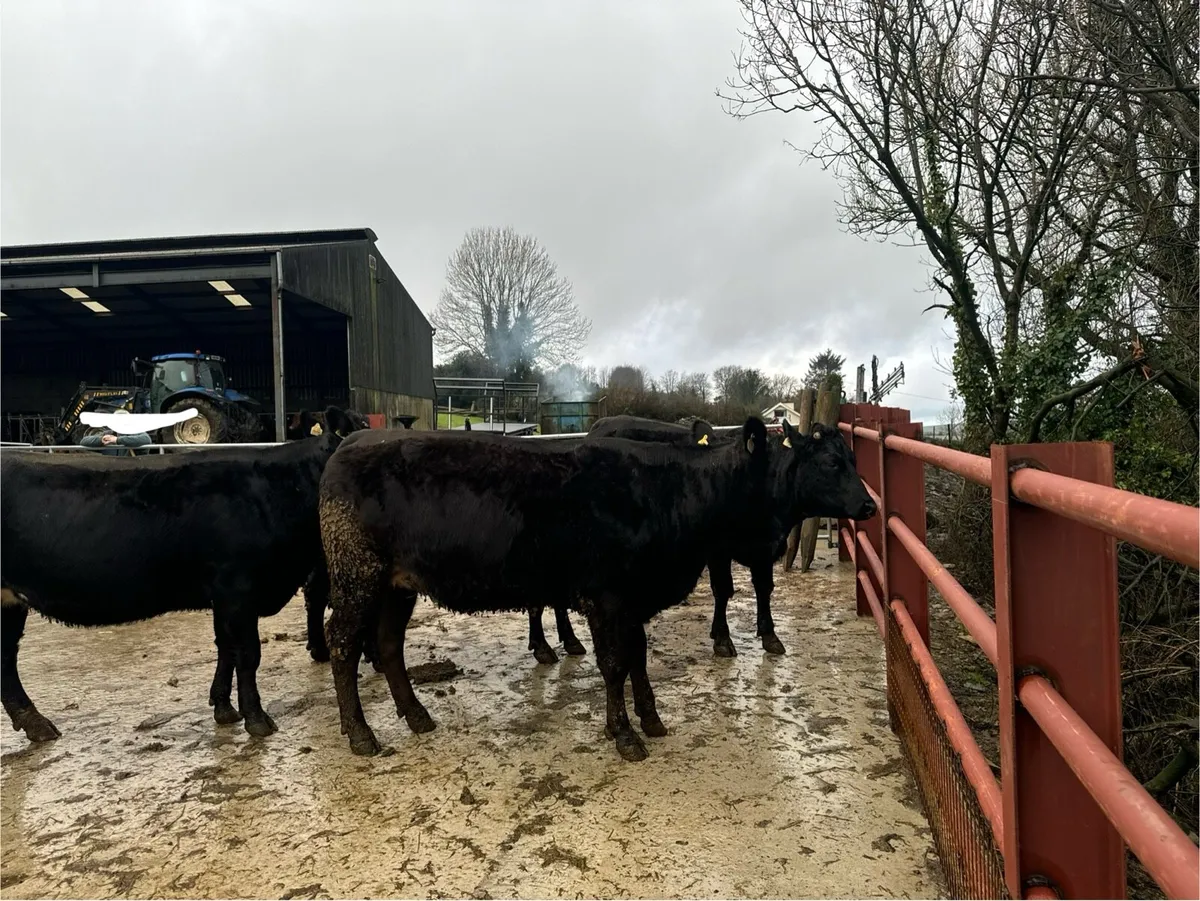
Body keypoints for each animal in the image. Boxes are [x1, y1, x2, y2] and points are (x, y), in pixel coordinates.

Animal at [0, 406, 366, 744]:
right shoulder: (238, 588)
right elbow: (248, 654)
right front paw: (257, 719)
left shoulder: (224, 597)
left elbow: (225, 648)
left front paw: (224, 708)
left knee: (6, 661)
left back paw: (36, 724)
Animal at [318, 416, 875, 762]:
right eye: (831, 464)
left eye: (851, 458)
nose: (869, 505)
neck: (670, 492)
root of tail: (351, 442)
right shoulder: (607, 597)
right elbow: (614, 664)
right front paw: (624, 734)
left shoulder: (634, 600)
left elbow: (638, 657)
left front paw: (650, 718)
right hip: (356, 576)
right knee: (343, 643)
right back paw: (361, 733)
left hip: (397, 584)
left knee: (388, 645)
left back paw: (417, 716)